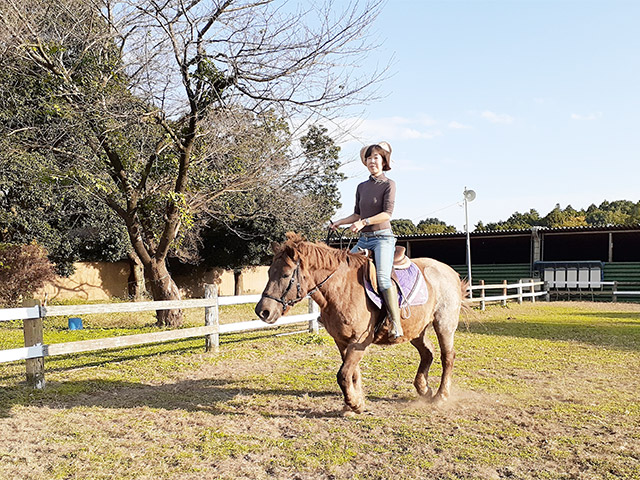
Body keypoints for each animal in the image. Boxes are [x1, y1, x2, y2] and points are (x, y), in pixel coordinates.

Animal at [254, 232, 464, 412]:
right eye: (269, 272)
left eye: (285, 274)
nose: (262, 311)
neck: (341, 288)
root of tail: (449, 271)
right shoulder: (342, 341)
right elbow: (351, 373)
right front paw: (354, 403)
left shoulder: (359, 341)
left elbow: (343, 374)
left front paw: (354, 404)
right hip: (416, 330)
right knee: (428, 353)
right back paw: (424, 389)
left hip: (444, 324)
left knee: (447, 357)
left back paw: (441, 396)